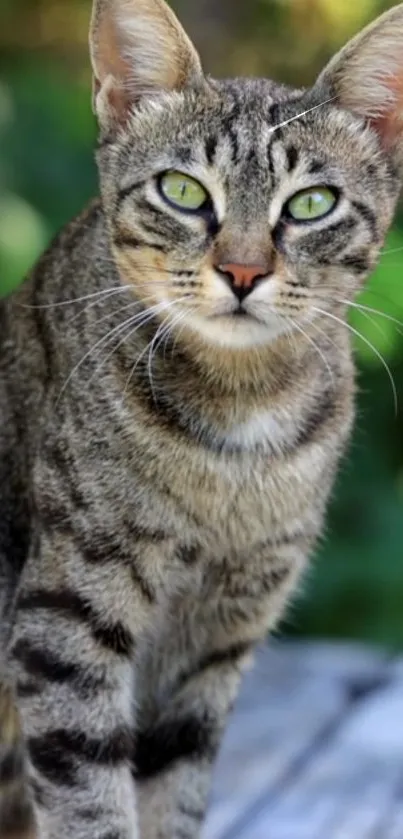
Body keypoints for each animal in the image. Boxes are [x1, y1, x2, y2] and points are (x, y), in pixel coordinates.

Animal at [0, 1, 403, 839]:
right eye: (183, 190)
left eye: (310, 203)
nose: (242, 271)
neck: (240, 423)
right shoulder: (66, 617)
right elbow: (90, 797)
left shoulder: (216, 640)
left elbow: (172, 792)